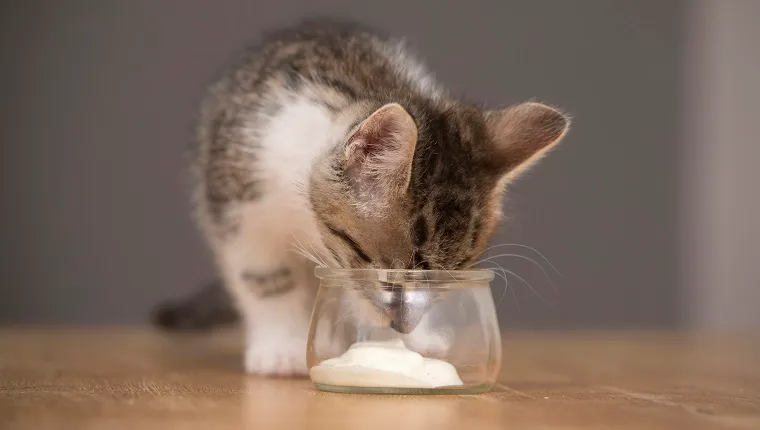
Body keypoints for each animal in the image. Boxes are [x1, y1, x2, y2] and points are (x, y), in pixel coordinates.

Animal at [153, 21, 568, 376]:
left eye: (444, 283)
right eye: (388, 280)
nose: (403, 326)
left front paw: (406, 343)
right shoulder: (237, 202)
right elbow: (263, 276)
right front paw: (282, 348)